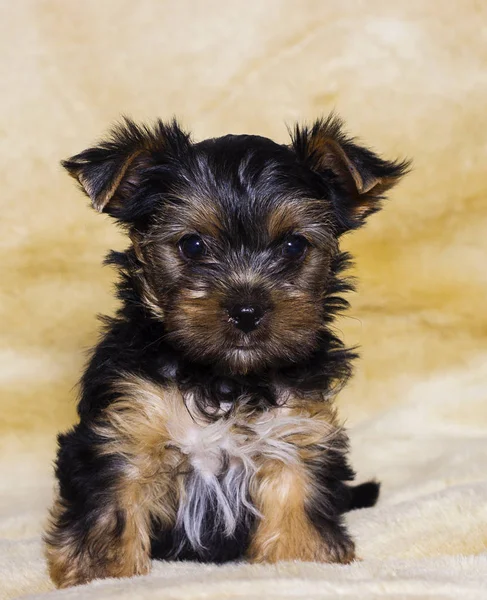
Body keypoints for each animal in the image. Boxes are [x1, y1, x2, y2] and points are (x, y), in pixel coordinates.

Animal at [43, 116, 410, 584]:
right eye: (193, 245)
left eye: (294, 246)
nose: (247, 310)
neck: (224, 378)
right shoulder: (123, 429)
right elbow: (112, 510)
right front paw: (106, 575)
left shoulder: (296, 431)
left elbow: (297, 501)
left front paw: (301, 561)